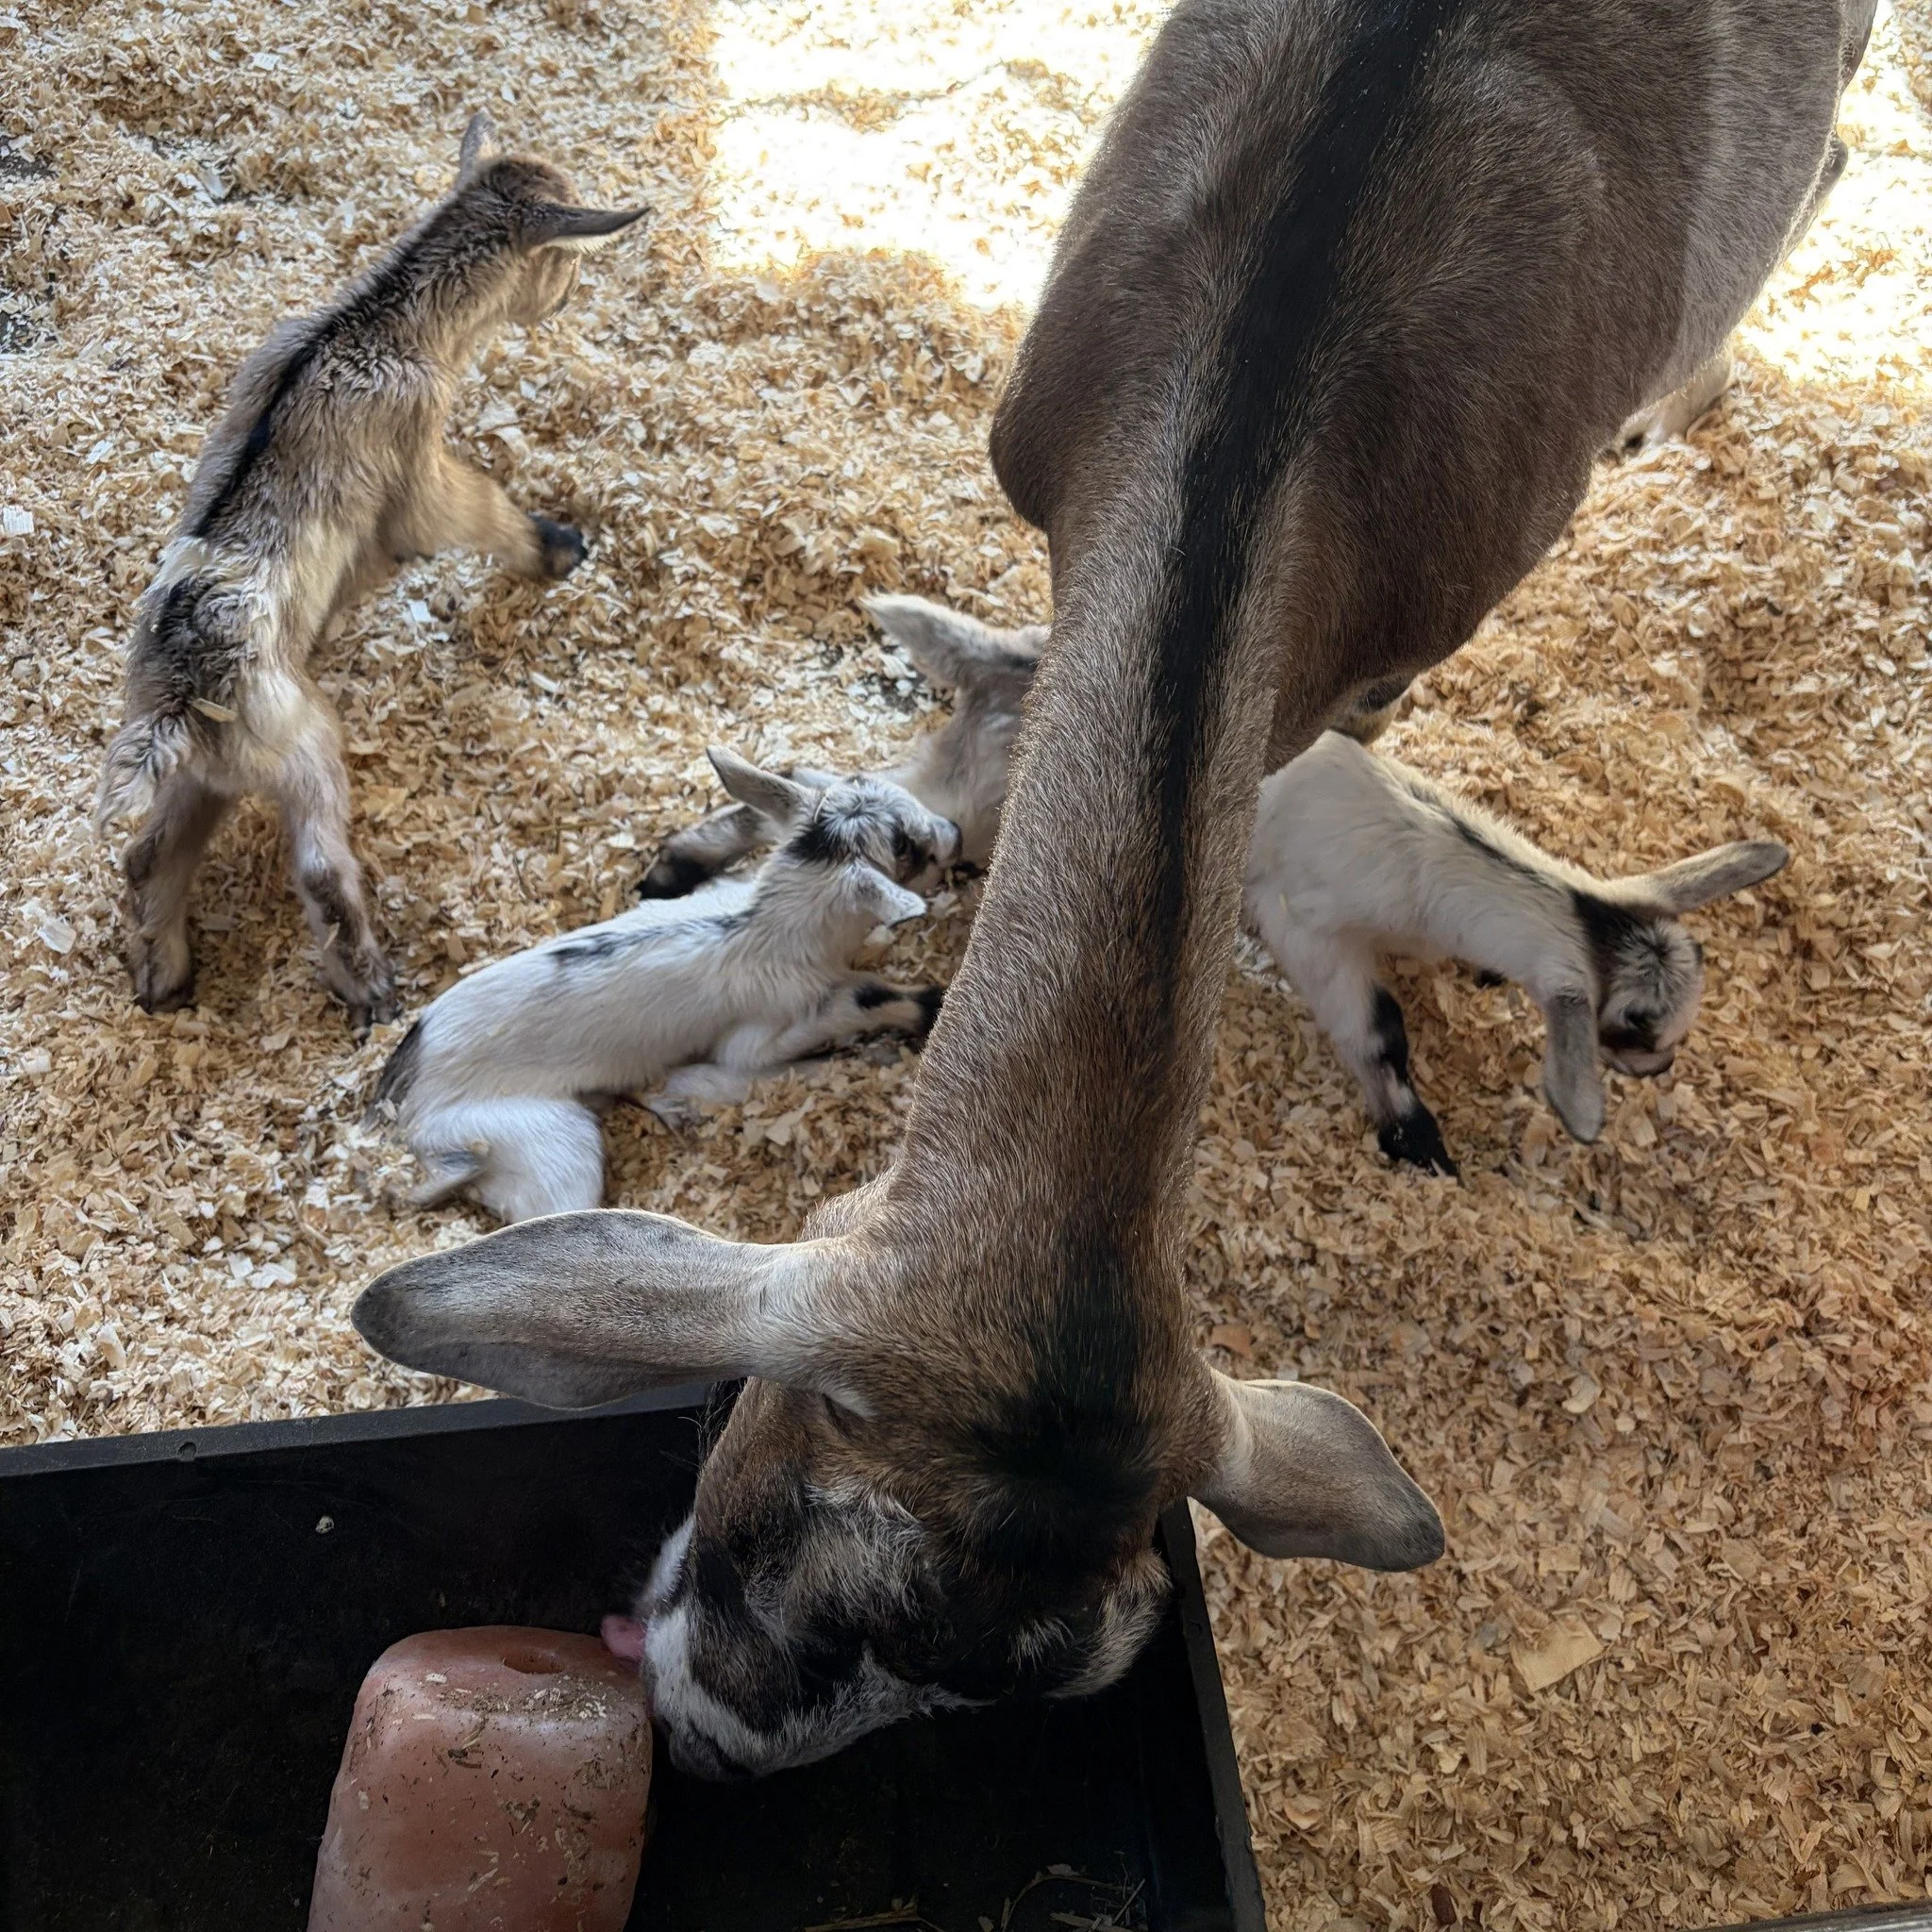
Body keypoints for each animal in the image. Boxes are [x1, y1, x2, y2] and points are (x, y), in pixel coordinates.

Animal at [96, 112, 645, 1028]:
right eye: (564, 258)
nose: (568, 293)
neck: (381, 322)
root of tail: (177, 707)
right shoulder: (418, 445)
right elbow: (462, 512)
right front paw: (555, 547)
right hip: (300, 743)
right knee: (319, 863)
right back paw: (371, 984)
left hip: (208, 771)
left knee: (150, 854)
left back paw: (163, 973)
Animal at [370, 753, 957, 1224]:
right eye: (910, 849)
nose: (953, 828)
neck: (761, 919)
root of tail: (397, 1110)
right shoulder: (763, 1029)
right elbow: (858, 997)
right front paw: (921, 1010)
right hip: (540, 1139)